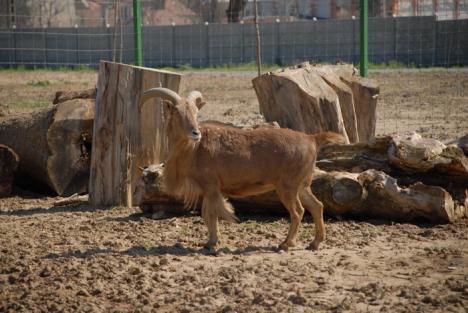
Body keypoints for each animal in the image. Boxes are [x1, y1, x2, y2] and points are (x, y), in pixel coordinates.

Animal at [137, 86, 346, 250]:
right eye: (177, 113)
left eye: (196, 112)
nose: (195, 133)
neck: (194, 149)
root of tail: (311, 139)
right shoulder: (207, 189)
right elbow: (207, 214)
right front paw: (209, 242)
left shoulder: (211, 186)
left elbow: (211, 214)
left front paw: (213, 243)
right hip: (301, 186)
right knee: (317, 206)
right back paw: (314, 243)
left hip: (288, 187)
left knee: (298, 212)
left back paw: (286, 244)